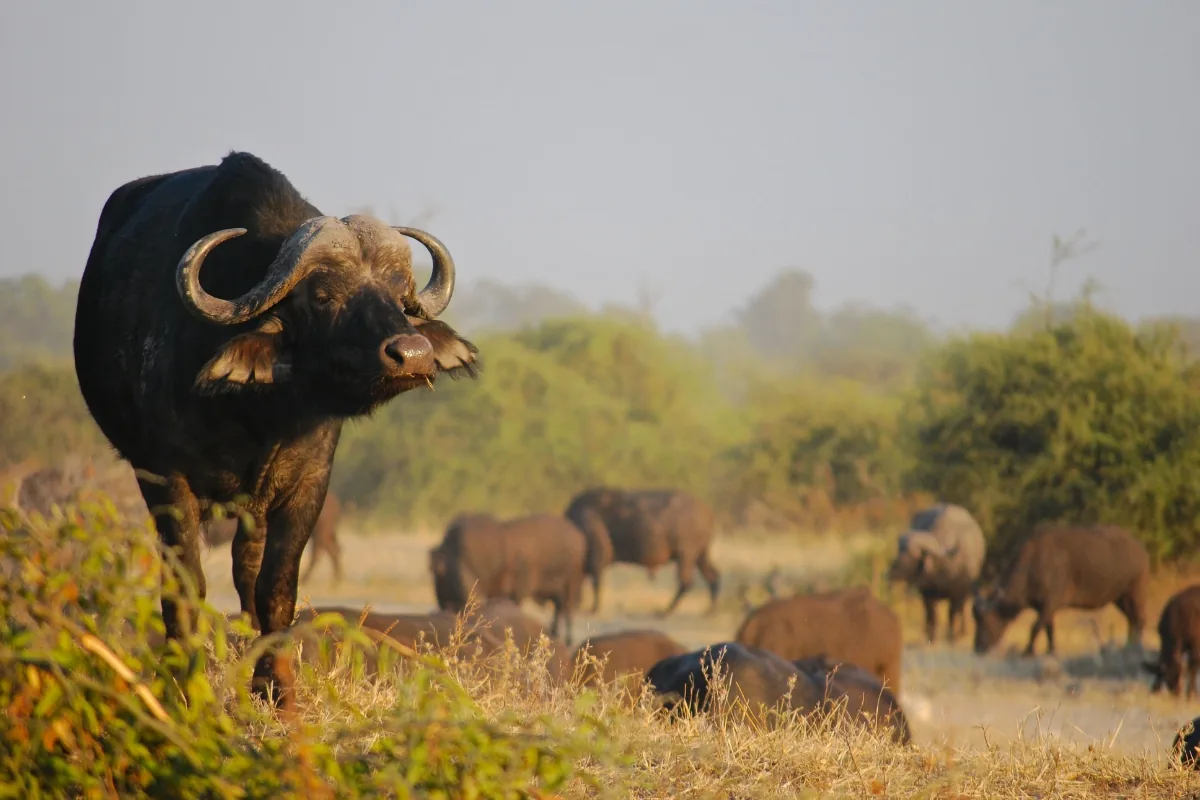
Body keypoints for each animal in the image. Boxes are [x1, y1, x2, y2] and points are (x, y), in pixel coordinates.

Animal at [73, 151, 478, 704]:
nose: (412, 355)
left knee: (246, 570)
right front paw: (185, 684)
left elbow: (276, 587)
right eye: (323, 295)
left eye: (401, 294)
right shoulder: (166, 480)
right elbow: (186, 585)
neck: (259, 415)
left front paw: (276, 687)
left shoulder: (306, 485)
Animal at [429, 513, 586, 644]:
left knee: (568, 609)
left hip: (571, 585)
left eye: (470, 563)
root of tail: (577, 535)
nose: (476, 596)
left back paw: (568, 639)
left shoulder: (518, 592)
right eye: (443, 571)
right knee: (559, 608)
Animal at [564, 487, 720, 616]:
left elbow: (595, 582)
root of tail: (708, 513)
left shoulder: (598, 557)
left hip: (686, 555)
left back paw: (666, 611)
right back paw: (709, 610)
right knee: (713, 576)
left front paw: (593, 609)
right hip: (700, 556)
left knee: (686, 582)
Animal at [886, 503, 986, 644]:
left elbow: (952, 614)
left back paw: (963, 632)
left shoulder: (957, 593)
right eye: (899, 550)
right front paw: (932, 637)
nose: (890, 572)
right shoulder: (928, 595)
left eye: (913, 554)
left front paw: (952, 637)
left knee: (963, 609)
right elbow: (932, 614)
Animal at [972, 524, 1148, 657]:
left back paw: (1136, 647)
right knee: (1131, 620)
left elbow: (1035, 627)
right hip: (1120, 598)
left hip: (1136, 591)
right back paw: (1127, 647)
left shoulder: (1050, 603)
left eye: (986, 620)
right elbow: (1049, 629)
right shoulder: (1045, 608)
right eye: (976, 620)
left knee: (1139, 619)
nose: (978, 647)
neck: (1033, 564)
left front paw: (1027, 651)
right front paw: (1051, 650)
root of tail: (1140, 549)